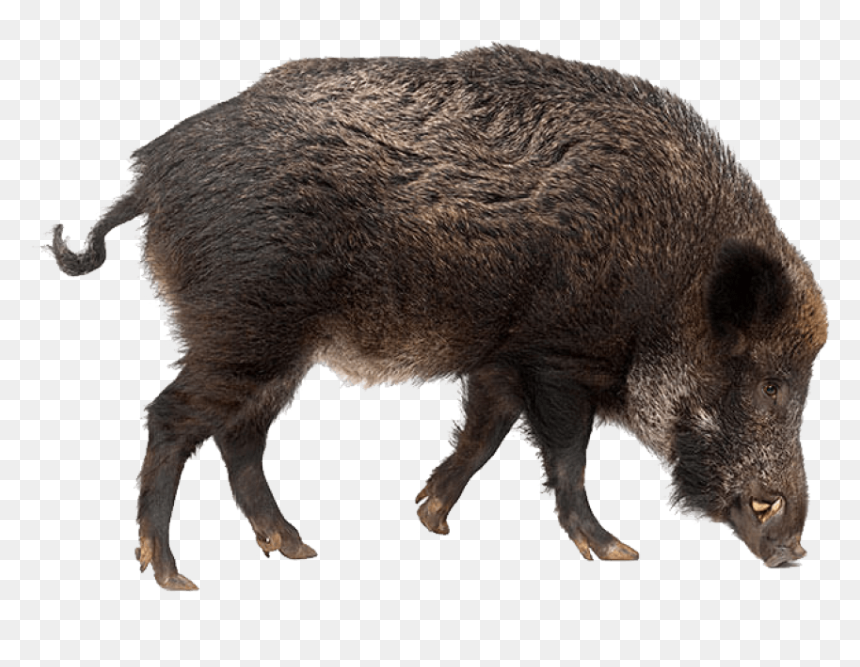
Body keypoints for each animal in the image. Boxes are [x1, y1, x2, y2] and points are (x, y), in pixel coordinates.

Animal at [49, 45, 828, 591]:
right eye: (771, 383)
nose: (793, 548)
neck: (671, 277)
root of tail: (150, 181)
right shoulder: (557, 356)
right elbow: (566, 453)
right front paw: (617, 551)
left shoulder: (502, 361)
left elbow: (485, 434)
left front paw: (430, 517)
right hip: (245, 326)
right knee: (174, 417)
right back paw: (172, 573)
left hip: (277, 347)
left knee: (240, 435)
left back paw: (296, 547)